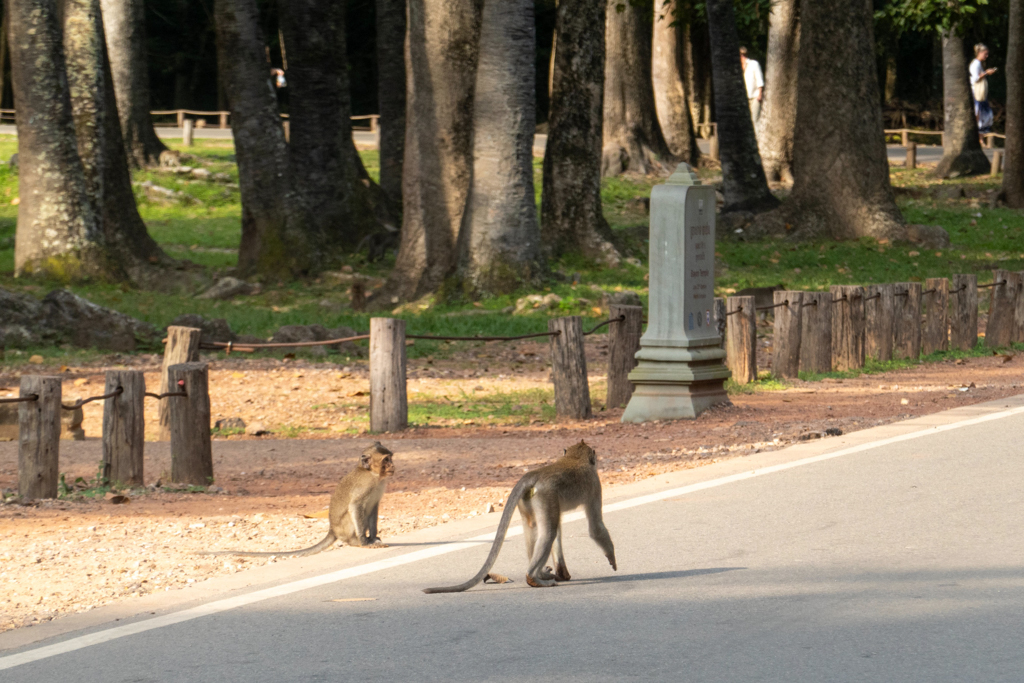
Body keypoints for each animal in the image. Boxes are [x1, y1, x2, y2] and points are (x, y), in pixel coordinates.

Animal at [423, 444, 614, 593]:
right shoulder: (595, 484)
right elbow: (595, 527)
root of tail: (534, 474)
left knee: (533, 527)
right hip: (545, 496)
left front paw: (562, 573)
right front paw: (612, 559)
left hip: (528, 500)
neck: (576, 458)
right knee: (548, 533)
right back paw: (533, 577)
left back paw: (539, 574)